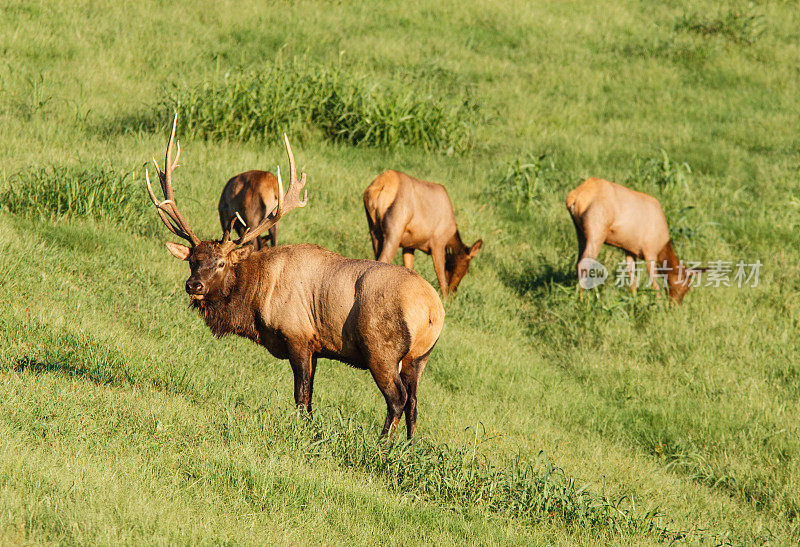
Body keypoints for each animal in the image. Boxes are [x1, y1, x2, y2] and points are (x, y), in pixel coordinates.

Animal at [144, 115, 444, 440]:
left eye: (221, 263)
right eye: (192, 261)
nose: (194, 285)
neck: (256, 299)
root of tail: (433, 310)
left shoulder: (298, 336)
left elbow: (301, 396)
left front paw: (302, 432)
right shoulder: (316, 348)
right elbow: (310, 396)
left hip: (382, 350)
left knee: (398, 398)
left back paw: (382, 444)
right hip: (419, 357)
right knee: (414, 402)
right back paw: (407, 447)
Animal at [362, 171, 482, 300]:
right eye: (466, 270)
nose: (453, 293)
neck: (450, 238)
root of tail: (381, 185)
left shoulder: (409, 245)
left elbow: (409, 267)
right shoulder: (438, 243)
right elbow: (441, 278)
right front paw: (445, 300)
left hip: (374, 229)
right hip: (395, 228)